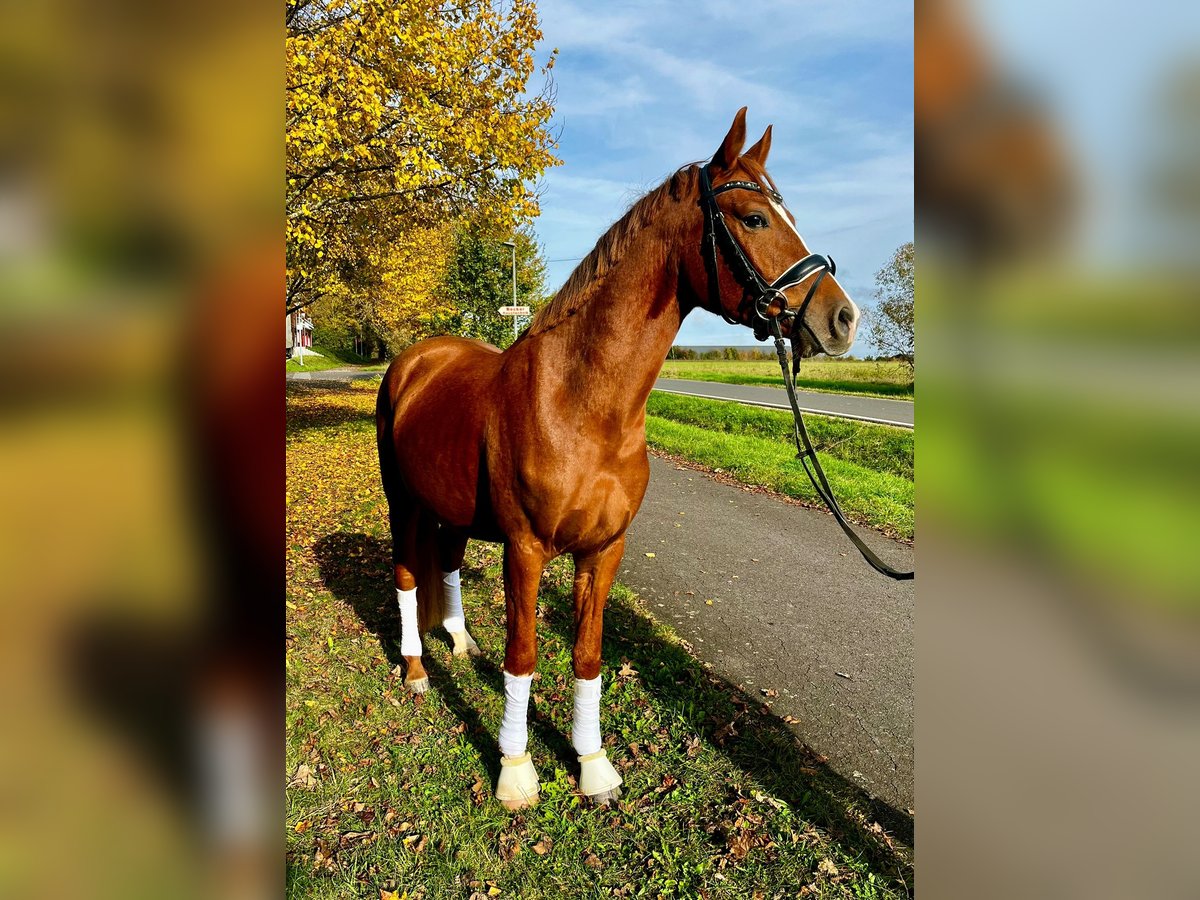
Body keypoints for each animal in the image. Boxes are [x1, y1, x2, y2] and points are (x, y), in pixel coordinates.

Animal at [379, 107, 859, 811]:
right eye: (753, 219)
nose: (842, 319)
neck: (580, 403)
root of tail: (416, 359)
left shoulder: (605, 549)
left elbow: (587, 656)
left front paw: (592, 763)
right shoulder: (525, 549)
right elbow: (523, 656)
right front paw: (516, 771)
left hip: (450, 510)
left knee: (446, 563)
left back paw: (460, 641)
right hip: (403, 502)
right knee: (409, 576)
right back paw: (416, 669)